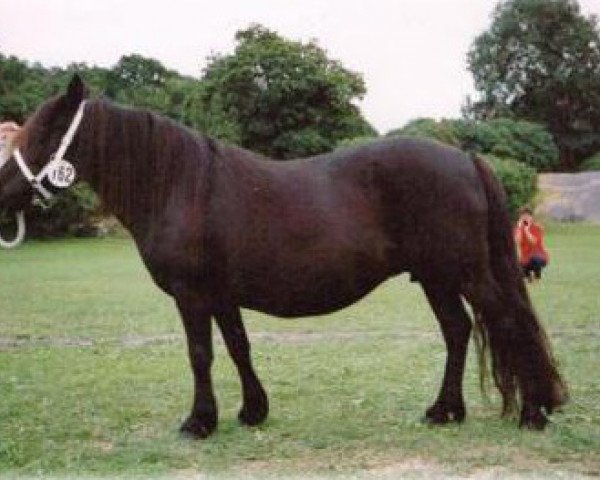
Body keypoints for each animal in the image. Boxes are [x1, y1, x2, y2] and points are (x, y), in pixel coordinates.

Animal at [0, 76, 568, 438]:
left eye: (44, 132)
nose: (2, 191)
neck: (179, 183)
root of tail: (465, 158)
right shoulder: (221, 295)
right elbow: (238, 348)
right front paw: (252, 411)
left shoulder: (191, 295)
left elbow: (201, 354)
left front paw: (199, 422)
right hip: (435, 277)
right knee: (457, 330)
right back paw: (444, 411)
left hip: (467, 273)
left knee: (506, 322)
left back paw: (533, 413)